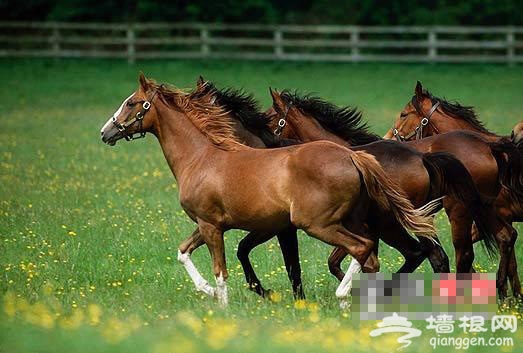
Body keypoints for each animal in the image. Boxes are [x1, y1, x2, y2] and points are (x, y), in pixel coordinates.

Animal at [99, 75, 438, 306]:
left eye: (131, 103)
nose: (106, 131)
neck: (203, 156)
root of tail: (352, 156)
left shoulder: (213, 226)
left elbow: (222, 269)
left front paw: (223, 305)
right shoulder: (213, 224)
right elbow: (184, 252)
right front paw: (209, 292)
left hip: (319, 224)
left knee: (368, 249)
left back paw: (345, 296)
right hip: (353, 221)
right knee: (373, 256)